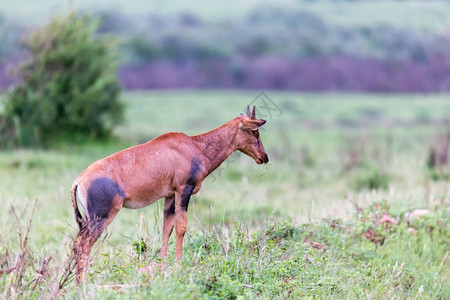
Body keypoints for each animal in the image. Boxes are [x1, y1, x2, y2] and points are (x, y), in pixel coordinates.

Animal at [70, 105, 268, 282]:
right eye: (255, 132)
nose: (264, 157)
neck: (194, 145)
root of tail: (79, 180)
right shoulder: (183, 189)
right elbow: (181, 226)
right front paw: (178, 264)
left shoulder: (170, 196)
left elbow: (167, 227)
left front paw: (163, 263)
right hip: (101, 217)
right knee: (83, 245)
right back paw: (83, 283)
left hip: (87, 219)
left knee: (77, 243)